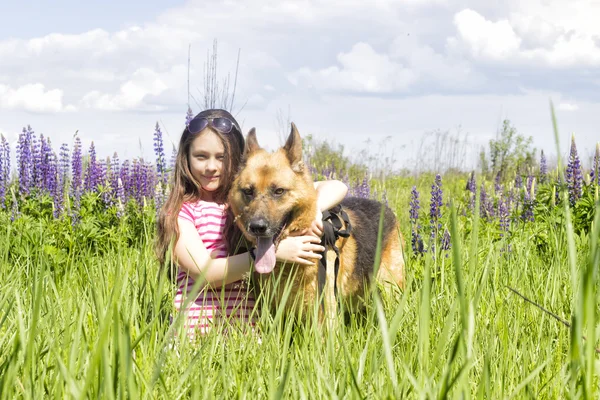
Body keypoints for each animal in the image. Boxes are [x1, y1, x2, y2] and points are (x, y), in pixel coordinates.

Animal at [227, 123, 406, 320]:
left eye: (279, 191)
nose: (257, 227)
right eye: (248, 191)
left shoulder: (325, 313)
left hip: (390, 289)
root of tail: (385, 207)